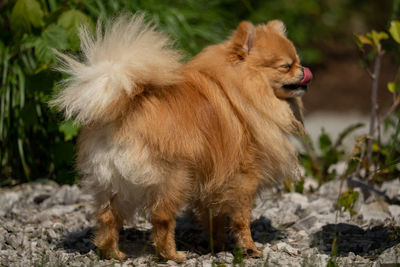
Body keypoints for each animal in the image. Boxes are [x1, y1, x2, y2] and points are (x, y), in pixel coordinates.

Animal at [50, 13, 312, 262]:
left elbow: (215, 218)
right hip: (175, 178)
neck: (243, 88)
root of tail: (124, 108)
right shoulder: (243, 176)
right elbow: (241, 219)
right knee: (162, 218)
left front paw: (219, 245)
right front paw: (249, 249)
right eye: (286, 66)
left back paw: (112, 253)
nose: (304, 70)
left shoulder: (215, 180)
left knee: (108, 218)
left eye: (297, 61)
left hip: (113, 182)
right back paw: (172, 255)